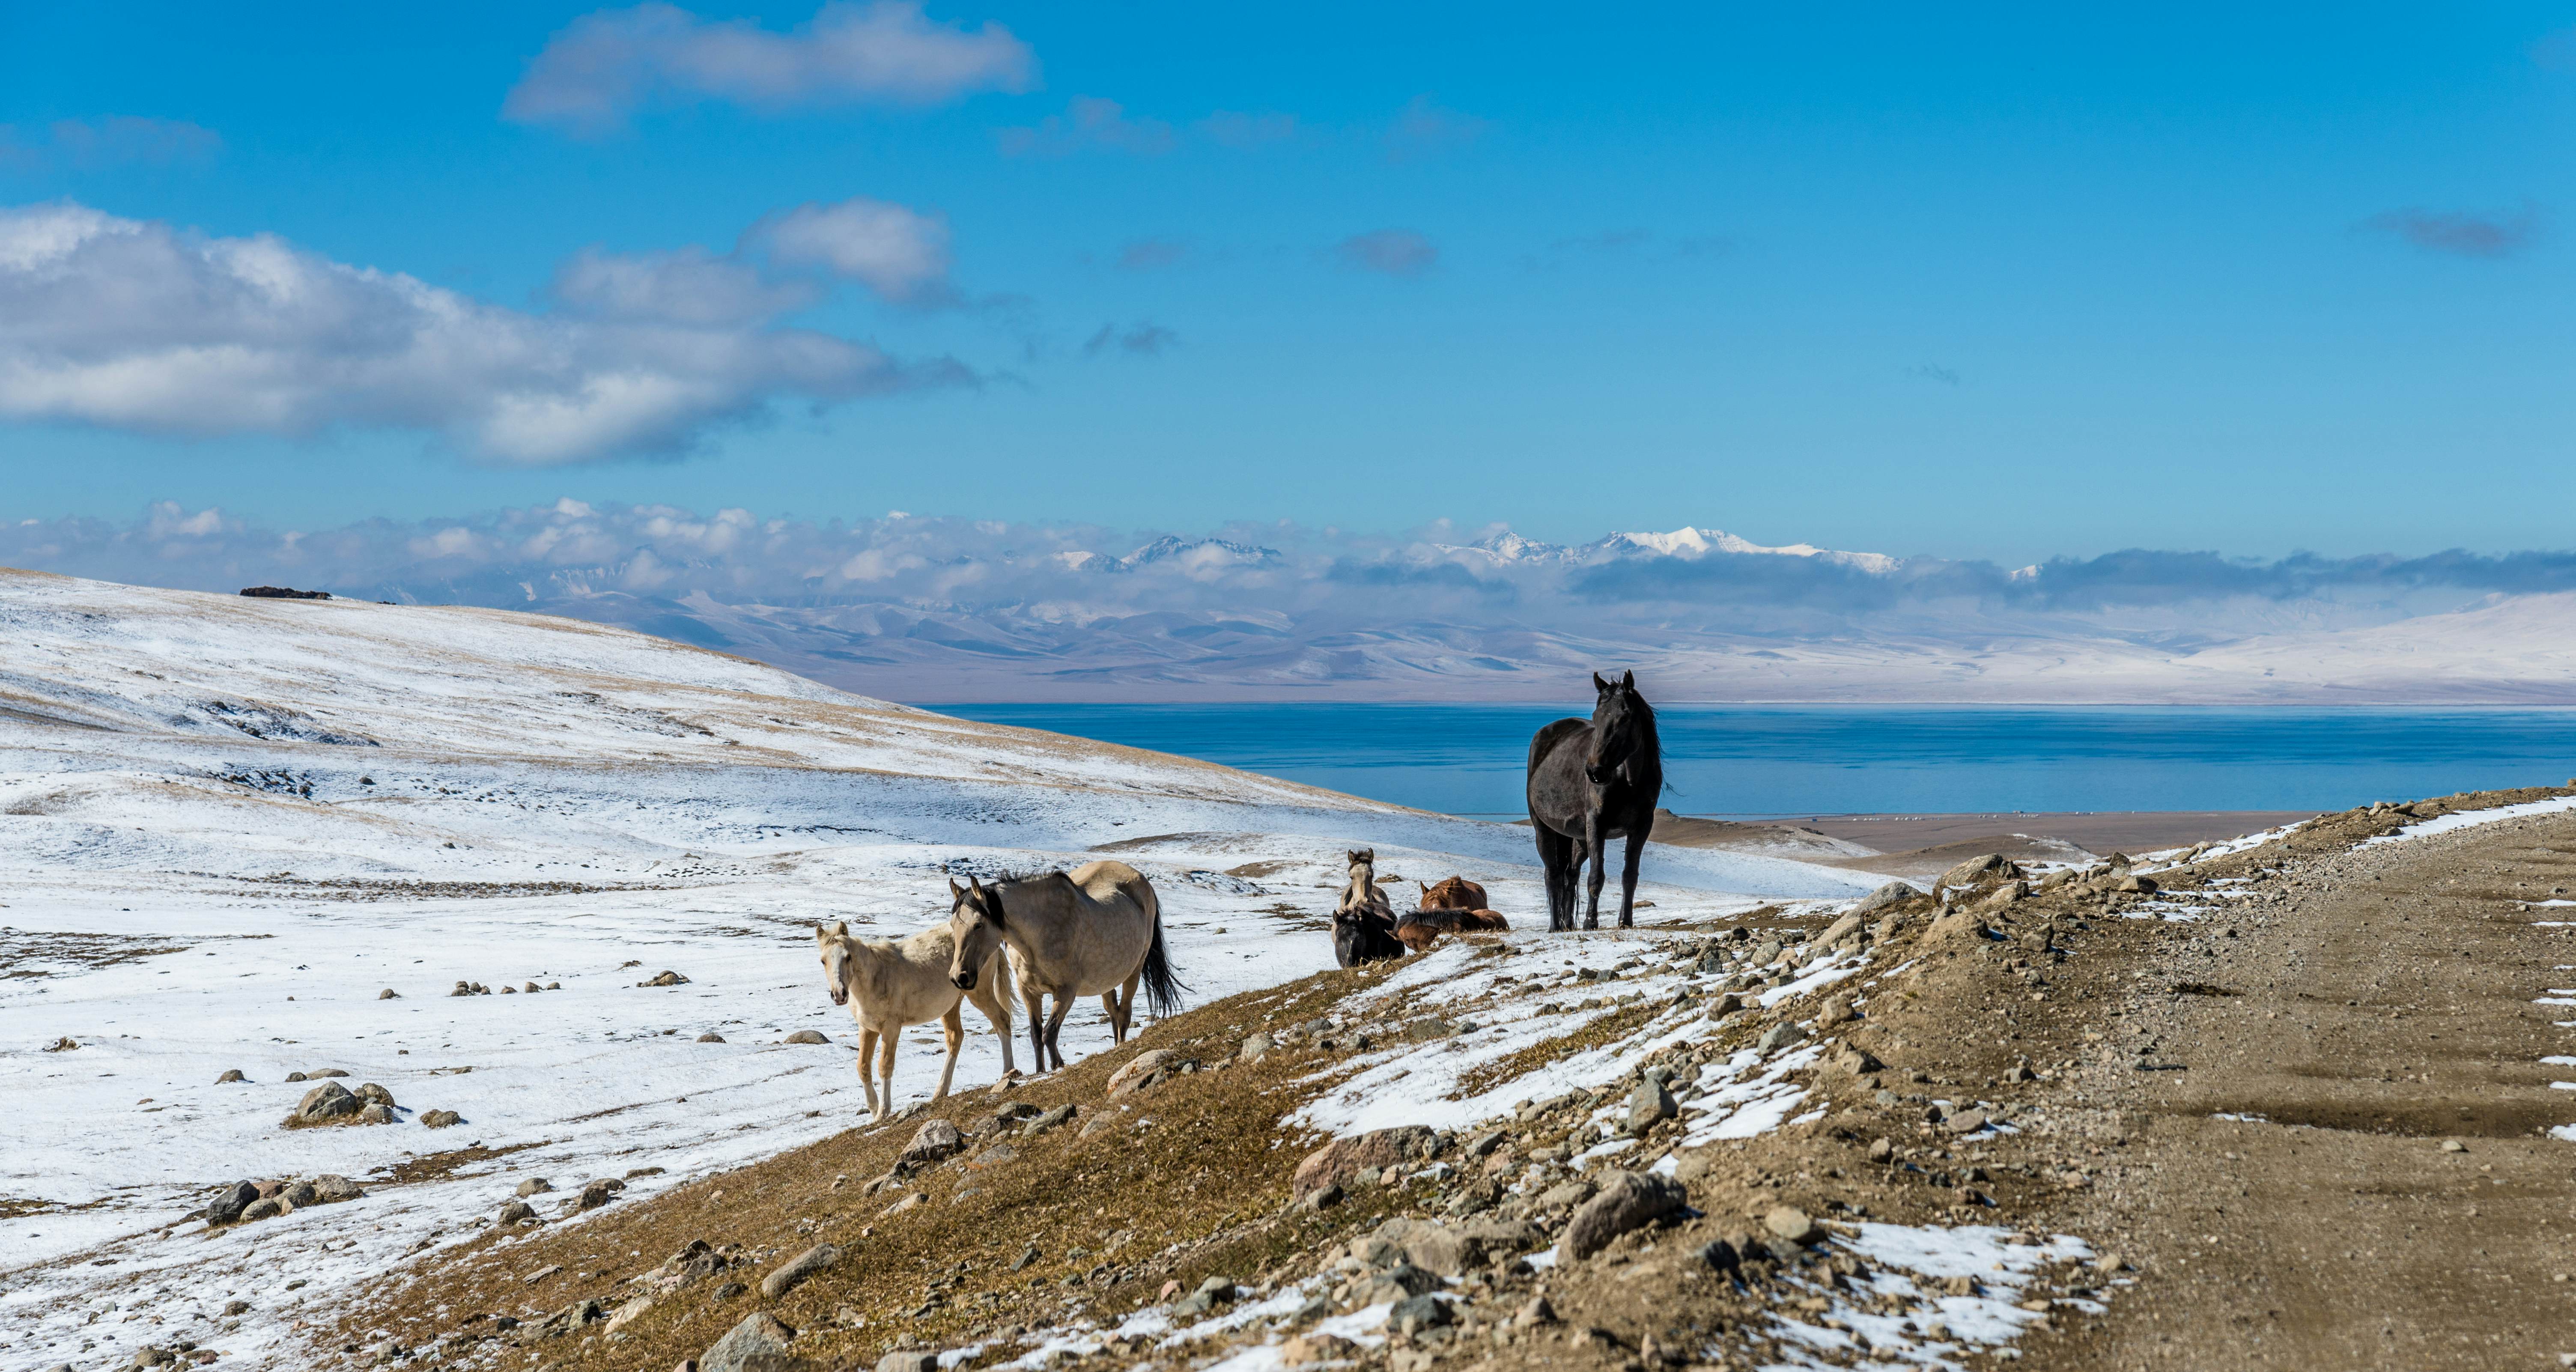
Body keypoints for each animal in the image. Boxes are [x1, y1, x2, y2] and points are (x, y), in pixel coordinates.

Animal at [814, 920, 1017, 1121]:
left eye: (848, 957)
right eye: (823, 961)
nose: (839, 995)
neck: (874, 978)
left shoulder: (891, 1029)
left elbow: (885, 1066)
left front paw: (883, 1112)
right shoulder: (867, 1029)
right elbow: (863, 1067)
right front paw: (874, 1109)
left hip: (980, 993)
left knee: (1002, 1021)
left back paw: (1007, 1074)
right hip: (951, 1007)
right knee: (956, 1038)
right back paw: (940, 1092)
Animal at [946, 861, 1183, 1072]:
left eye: (978, 925)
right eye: (953, 925)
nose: (959, 977)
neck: (1038, 934)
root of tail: (1142, 880)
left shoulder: (1066, 992)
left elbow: (1049, 1033)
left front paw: (1057, 1065)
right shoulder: (1029, 992)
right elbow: (1036, 1035)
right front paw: (1041, 1070)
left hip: (1135, 969)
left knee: (1125, 1013)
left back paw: (1120, 1046)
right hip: (1105, 979)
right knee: (1113, 1010)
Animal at [1526, 670, 1664, 931]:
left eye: (1625, 717)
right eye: (1596, 716)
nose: (1594, 771)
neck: (1628, 779)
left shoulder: (1642, 827)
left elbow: (1630, 875)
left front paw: (1625, 921)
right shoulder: (1597, 823)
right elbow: (1596, 876)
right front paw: (1591, 922)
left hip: (1579, 838)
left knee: (1570, 875)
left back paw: (1567, 924)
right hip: (1545, 829)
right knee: (1553, 875)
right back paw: (1555, 926)